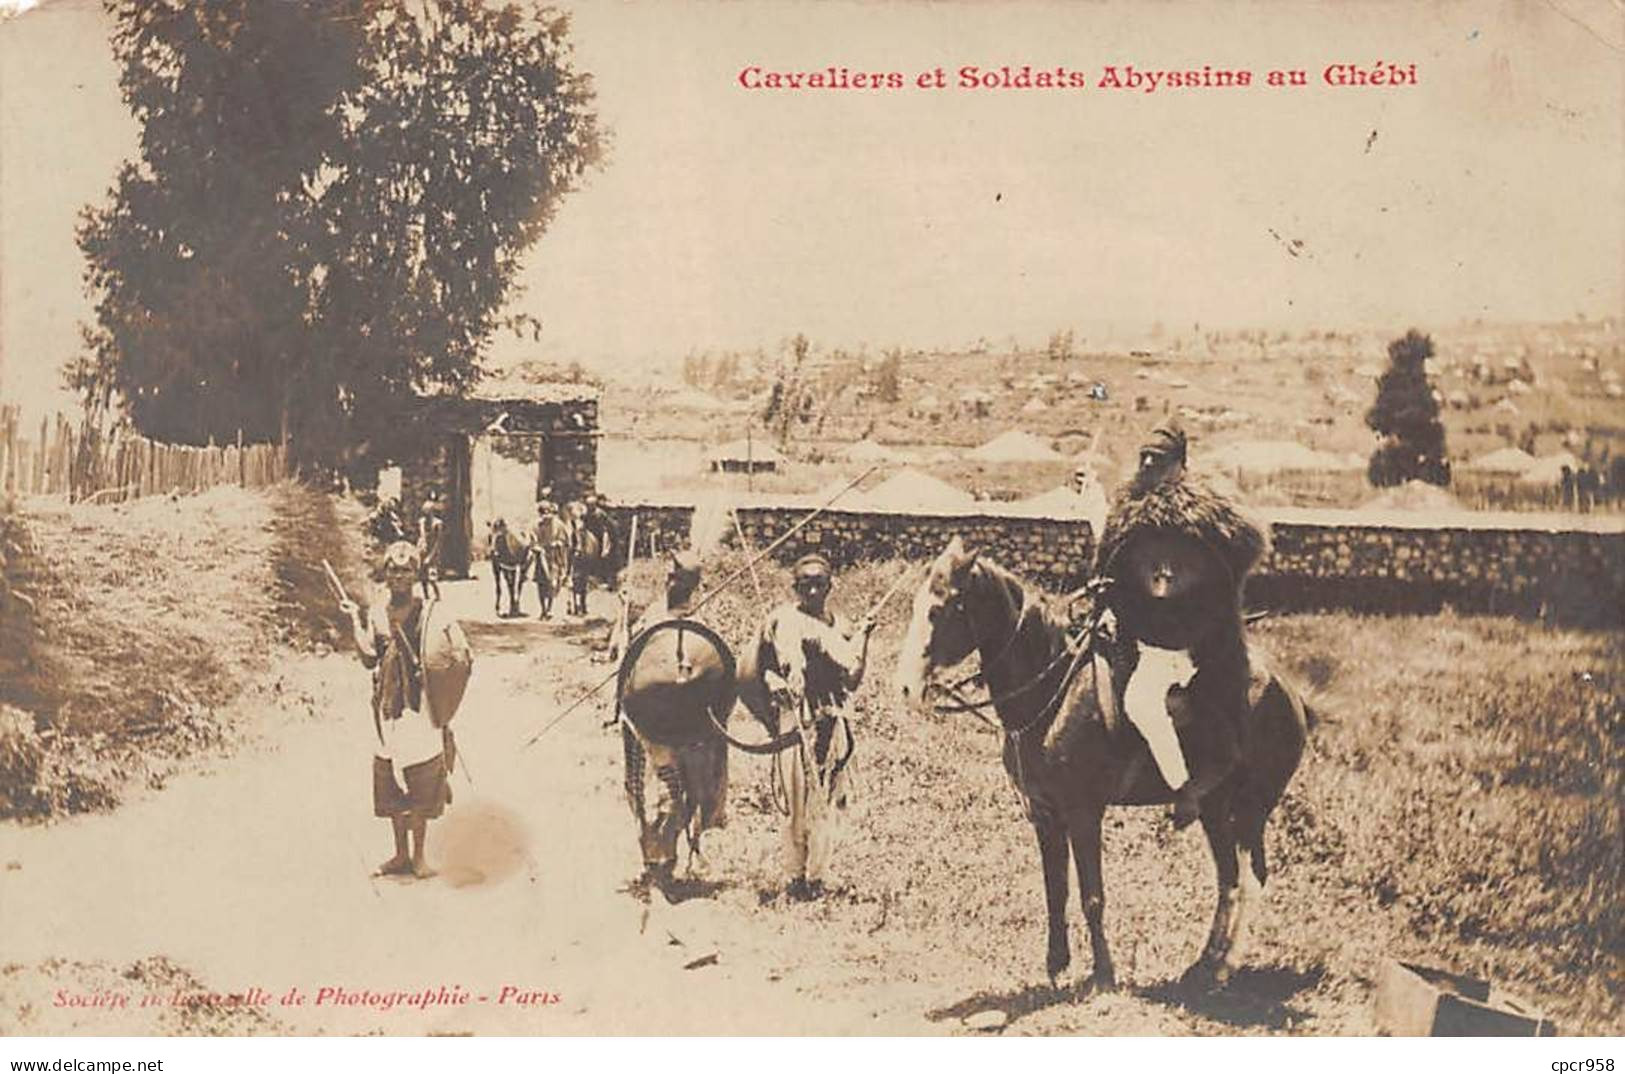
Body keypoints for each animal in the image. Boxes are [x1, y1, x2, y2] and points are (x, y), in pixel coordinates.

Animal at [890, 536, 1306, 987]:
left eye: (938, 610)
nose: (906, 688)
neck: (1052, 691)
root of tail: (1288, 691)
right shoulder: (1045, 814)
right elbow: (1056, 890)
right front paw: (1057, 966)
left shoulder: (1083, 813)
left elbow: (1092, 896)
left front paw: (1103, 973)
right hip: (1215, 809)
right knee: (1228, 880)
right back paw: (1204, 964)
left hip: (1251, 810)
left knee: (1252, 879)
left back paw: (1225, 967)